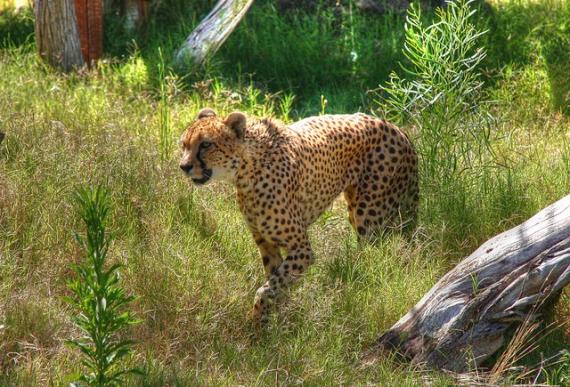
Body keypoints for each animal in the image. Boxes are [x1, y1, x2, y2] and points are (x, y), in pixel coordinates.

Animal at [179, 107, 418, 326]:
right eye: (184, 144)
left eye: (206, 144)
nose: (184, 166)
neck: (247, 171)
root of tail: (396, 127)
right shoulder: (266, 244)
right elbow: (275, 282)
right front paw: (273, 321)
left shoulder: (301, 249)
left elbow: (266, 290)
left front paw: (256, 324)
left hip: (368, 217)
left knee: (375, 256)